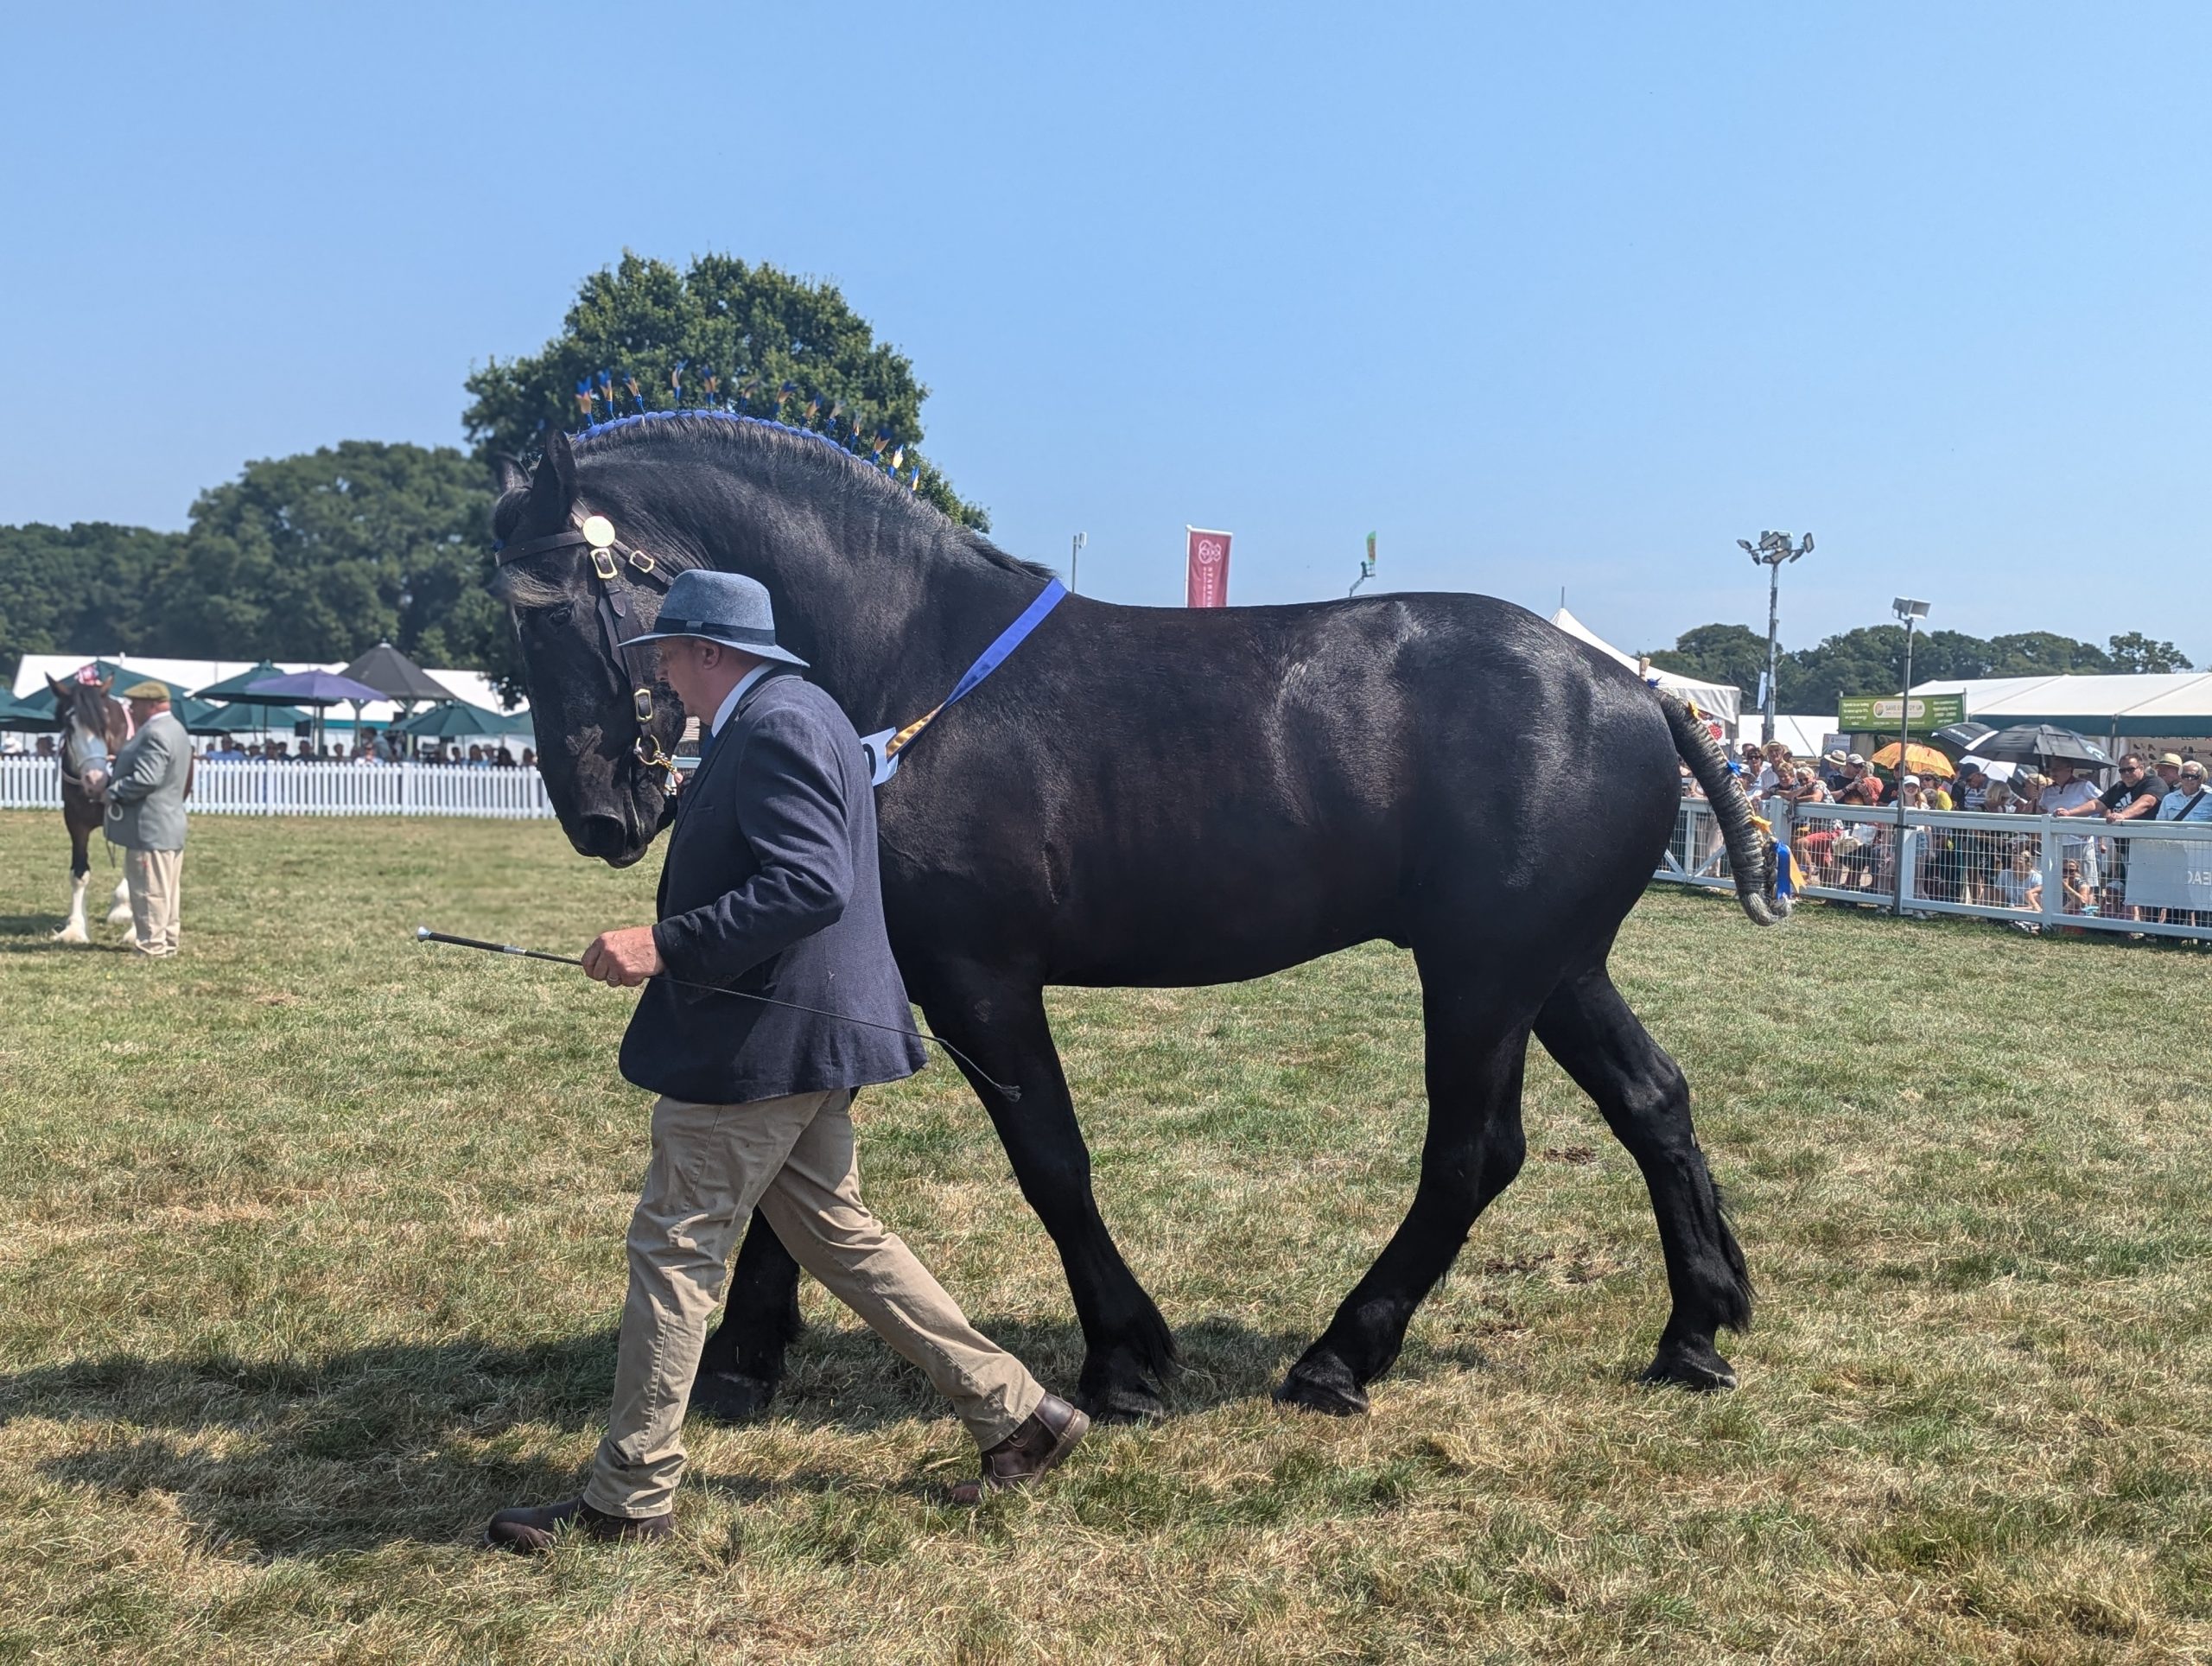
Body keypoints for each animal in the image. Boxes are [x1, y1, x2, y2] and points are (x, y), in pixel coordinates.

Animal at [44, 668, 133, 942]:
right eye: (69, 727)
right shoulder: (75, 821)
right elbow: (79, 874)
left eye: (104, 725)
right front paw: (75, 928)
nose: (95, 779)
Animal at [488, 416, 1778, 1415]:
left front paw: (1123, 1354)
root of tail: (1638, 694)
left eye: (544, 610)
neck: (914, 667)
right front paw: (747, 1352)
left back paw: (1340, 1354)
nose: (598, 814)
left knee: (1475, 1152)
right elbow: (794, 1157)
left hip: (1481, 976)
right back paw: (1694, 1329)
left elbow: (1049, 1157)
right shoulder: (864, 964)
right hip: (1555, 970)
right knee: (1653, 1102)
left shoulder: (977, 974)